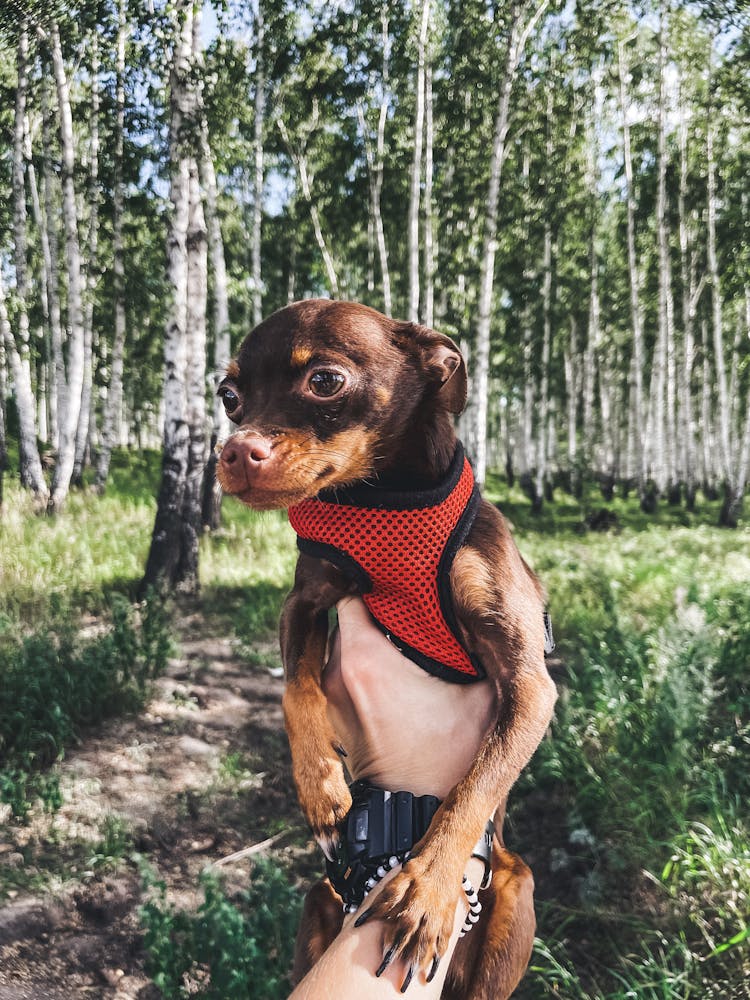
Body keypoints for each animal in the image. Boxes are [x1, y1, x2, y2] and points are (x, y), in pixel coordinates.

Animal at [216, 298, 560, 1000]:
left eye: (325, 381)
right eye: (228, 395)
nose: (233, 451)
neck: (385, 499)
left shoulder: (530, 683)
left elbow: (475, 786)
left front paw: (427, 887)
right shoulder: (305, 603)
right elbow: (295, 687)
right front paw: (322, 788)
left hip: (517, 897)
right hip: (319, 901)